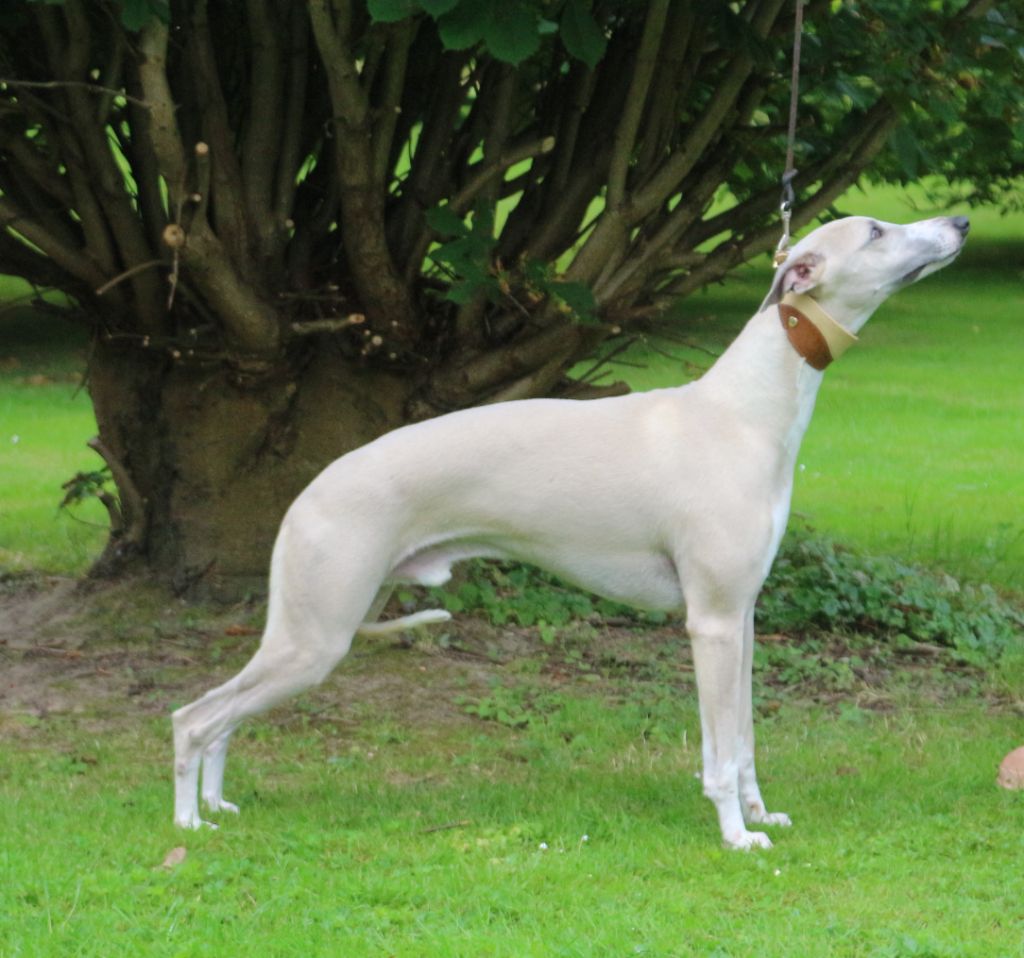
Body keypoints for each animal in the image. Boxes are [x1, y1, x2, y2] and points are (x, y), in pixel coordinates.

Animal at [172, 214, 969, 848]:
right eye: (876, 231)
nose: (958, 222)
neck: (742, 411)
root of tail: (307, 493)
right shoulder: (710, 622)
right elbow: (717, 753)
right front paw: (735, 836)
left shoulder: (740, 618)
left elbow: (742, 742)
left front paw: (758, 814)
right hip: (316, 636)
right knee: (194, 717)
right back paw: (187, 823)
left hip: (311, 633)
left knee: (224, 718)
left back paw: (217, 805)